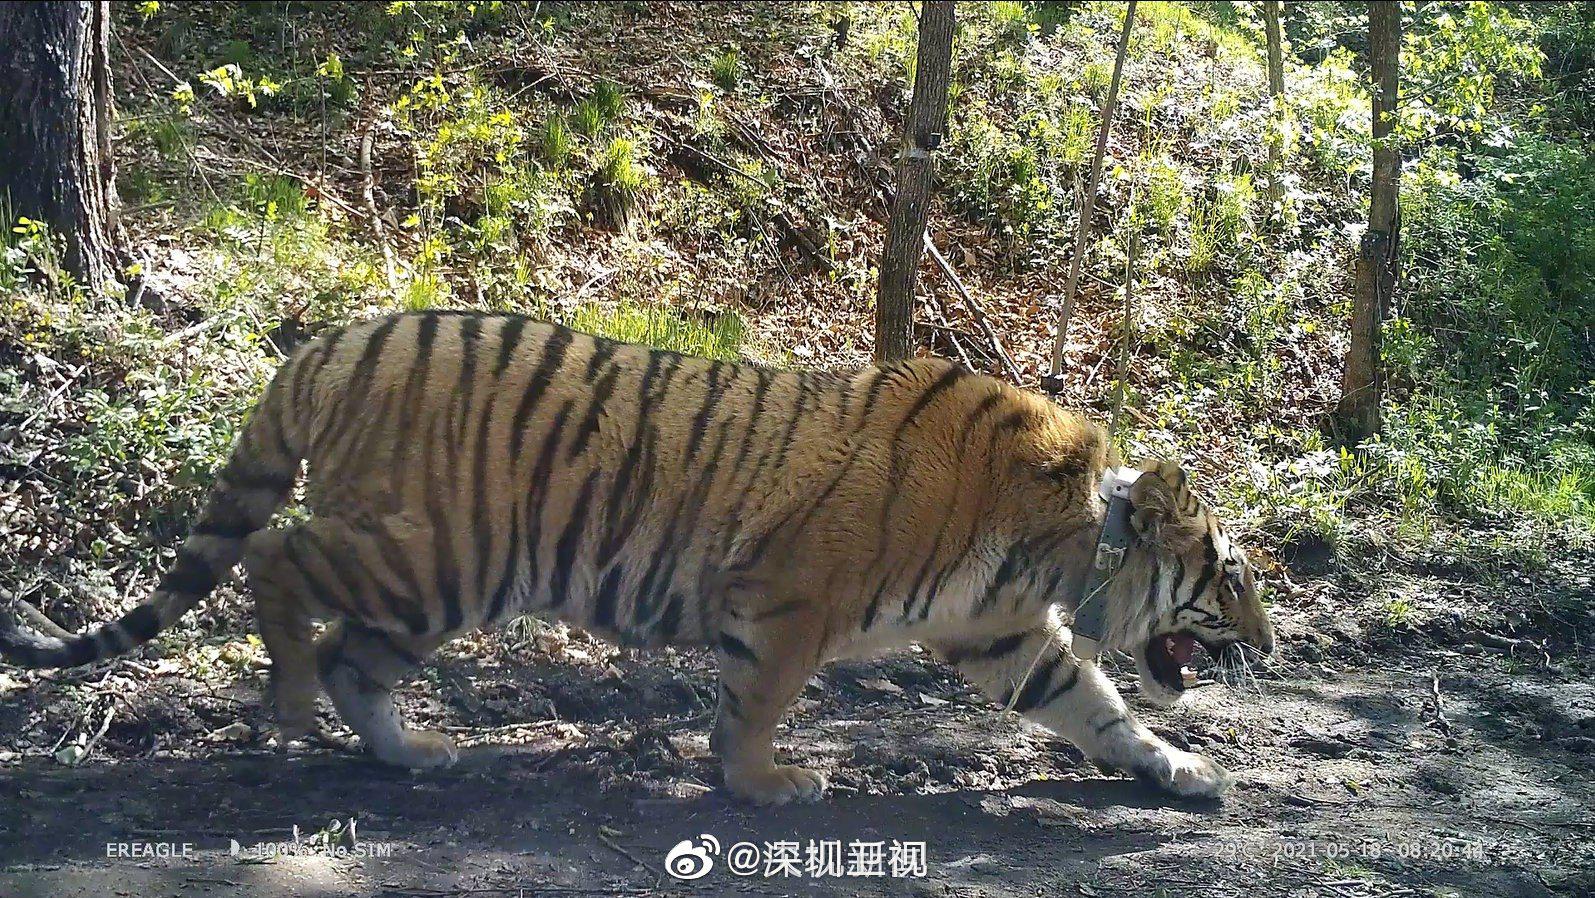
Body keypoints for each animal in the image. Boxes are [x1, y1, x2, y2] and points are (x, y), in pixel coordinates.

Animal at [1, 310, 1274, 805]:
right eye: (1230, 575)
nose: (1267, 646)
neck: (1060, 546)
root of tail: (334, 339)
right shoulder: (793, 599)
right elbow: (758, 700)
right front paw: (763, 782)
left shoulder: (1001, 633)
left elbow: (1096, 705)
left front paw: (1177, 766)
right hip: (420, 552)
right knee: (275, 555)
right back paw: (290, 701)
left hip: (437, 582)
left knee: (357, 650)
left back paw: (408, 750)